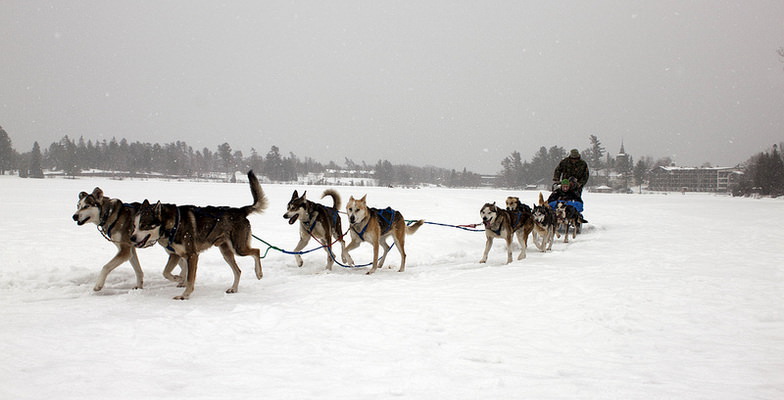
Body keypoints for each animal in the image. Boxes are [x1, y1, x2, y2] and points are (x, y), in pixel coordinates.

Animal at [132, 170, 270, 298]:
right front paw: (178, 278)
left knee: (256, 251)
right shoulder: (175, 255)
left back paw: (259, 273)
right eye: (134, 226)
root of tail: (240, 211)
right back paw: (234, 289)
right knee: (238, 271)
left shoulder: (192, 255)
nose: (132, 238)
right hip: (226, 253)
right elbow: (166, 272)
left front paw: (184, 295)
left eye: (143, 225)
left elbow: (189, 279)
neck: (174, 225)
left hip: (238, 248)